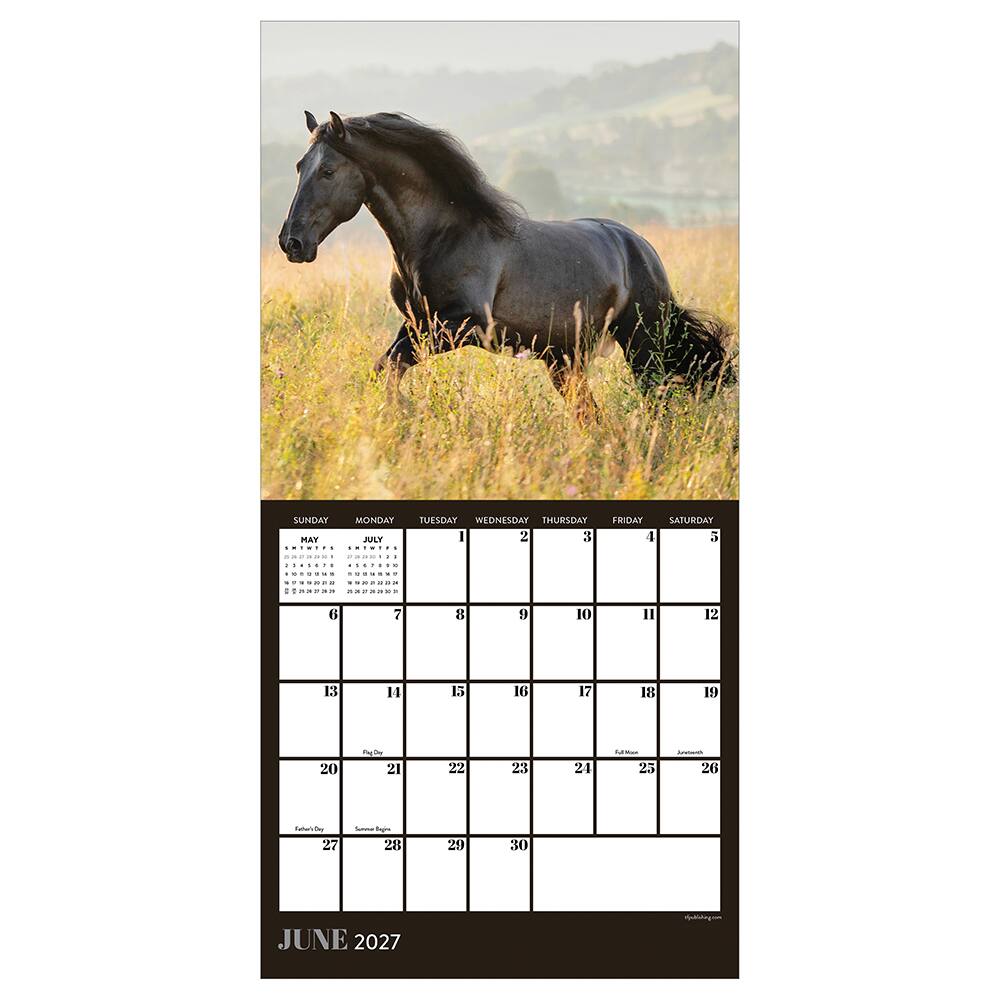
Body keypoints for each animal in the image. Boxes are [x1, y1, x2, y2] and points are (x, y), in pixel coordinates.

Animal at [278, 111, 732, 414]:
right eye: (299, 166)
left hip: (643, 345)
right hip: (563, 360)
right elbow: (383, 369)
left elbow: (389, 367)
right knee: (589, 415)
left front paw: (404, 413)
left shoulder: (460, 325)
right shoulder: (417, 324)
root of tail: (641, 248)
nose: (291, 242)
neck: (439, 236)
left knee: (656, 397)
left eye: (328, 171)